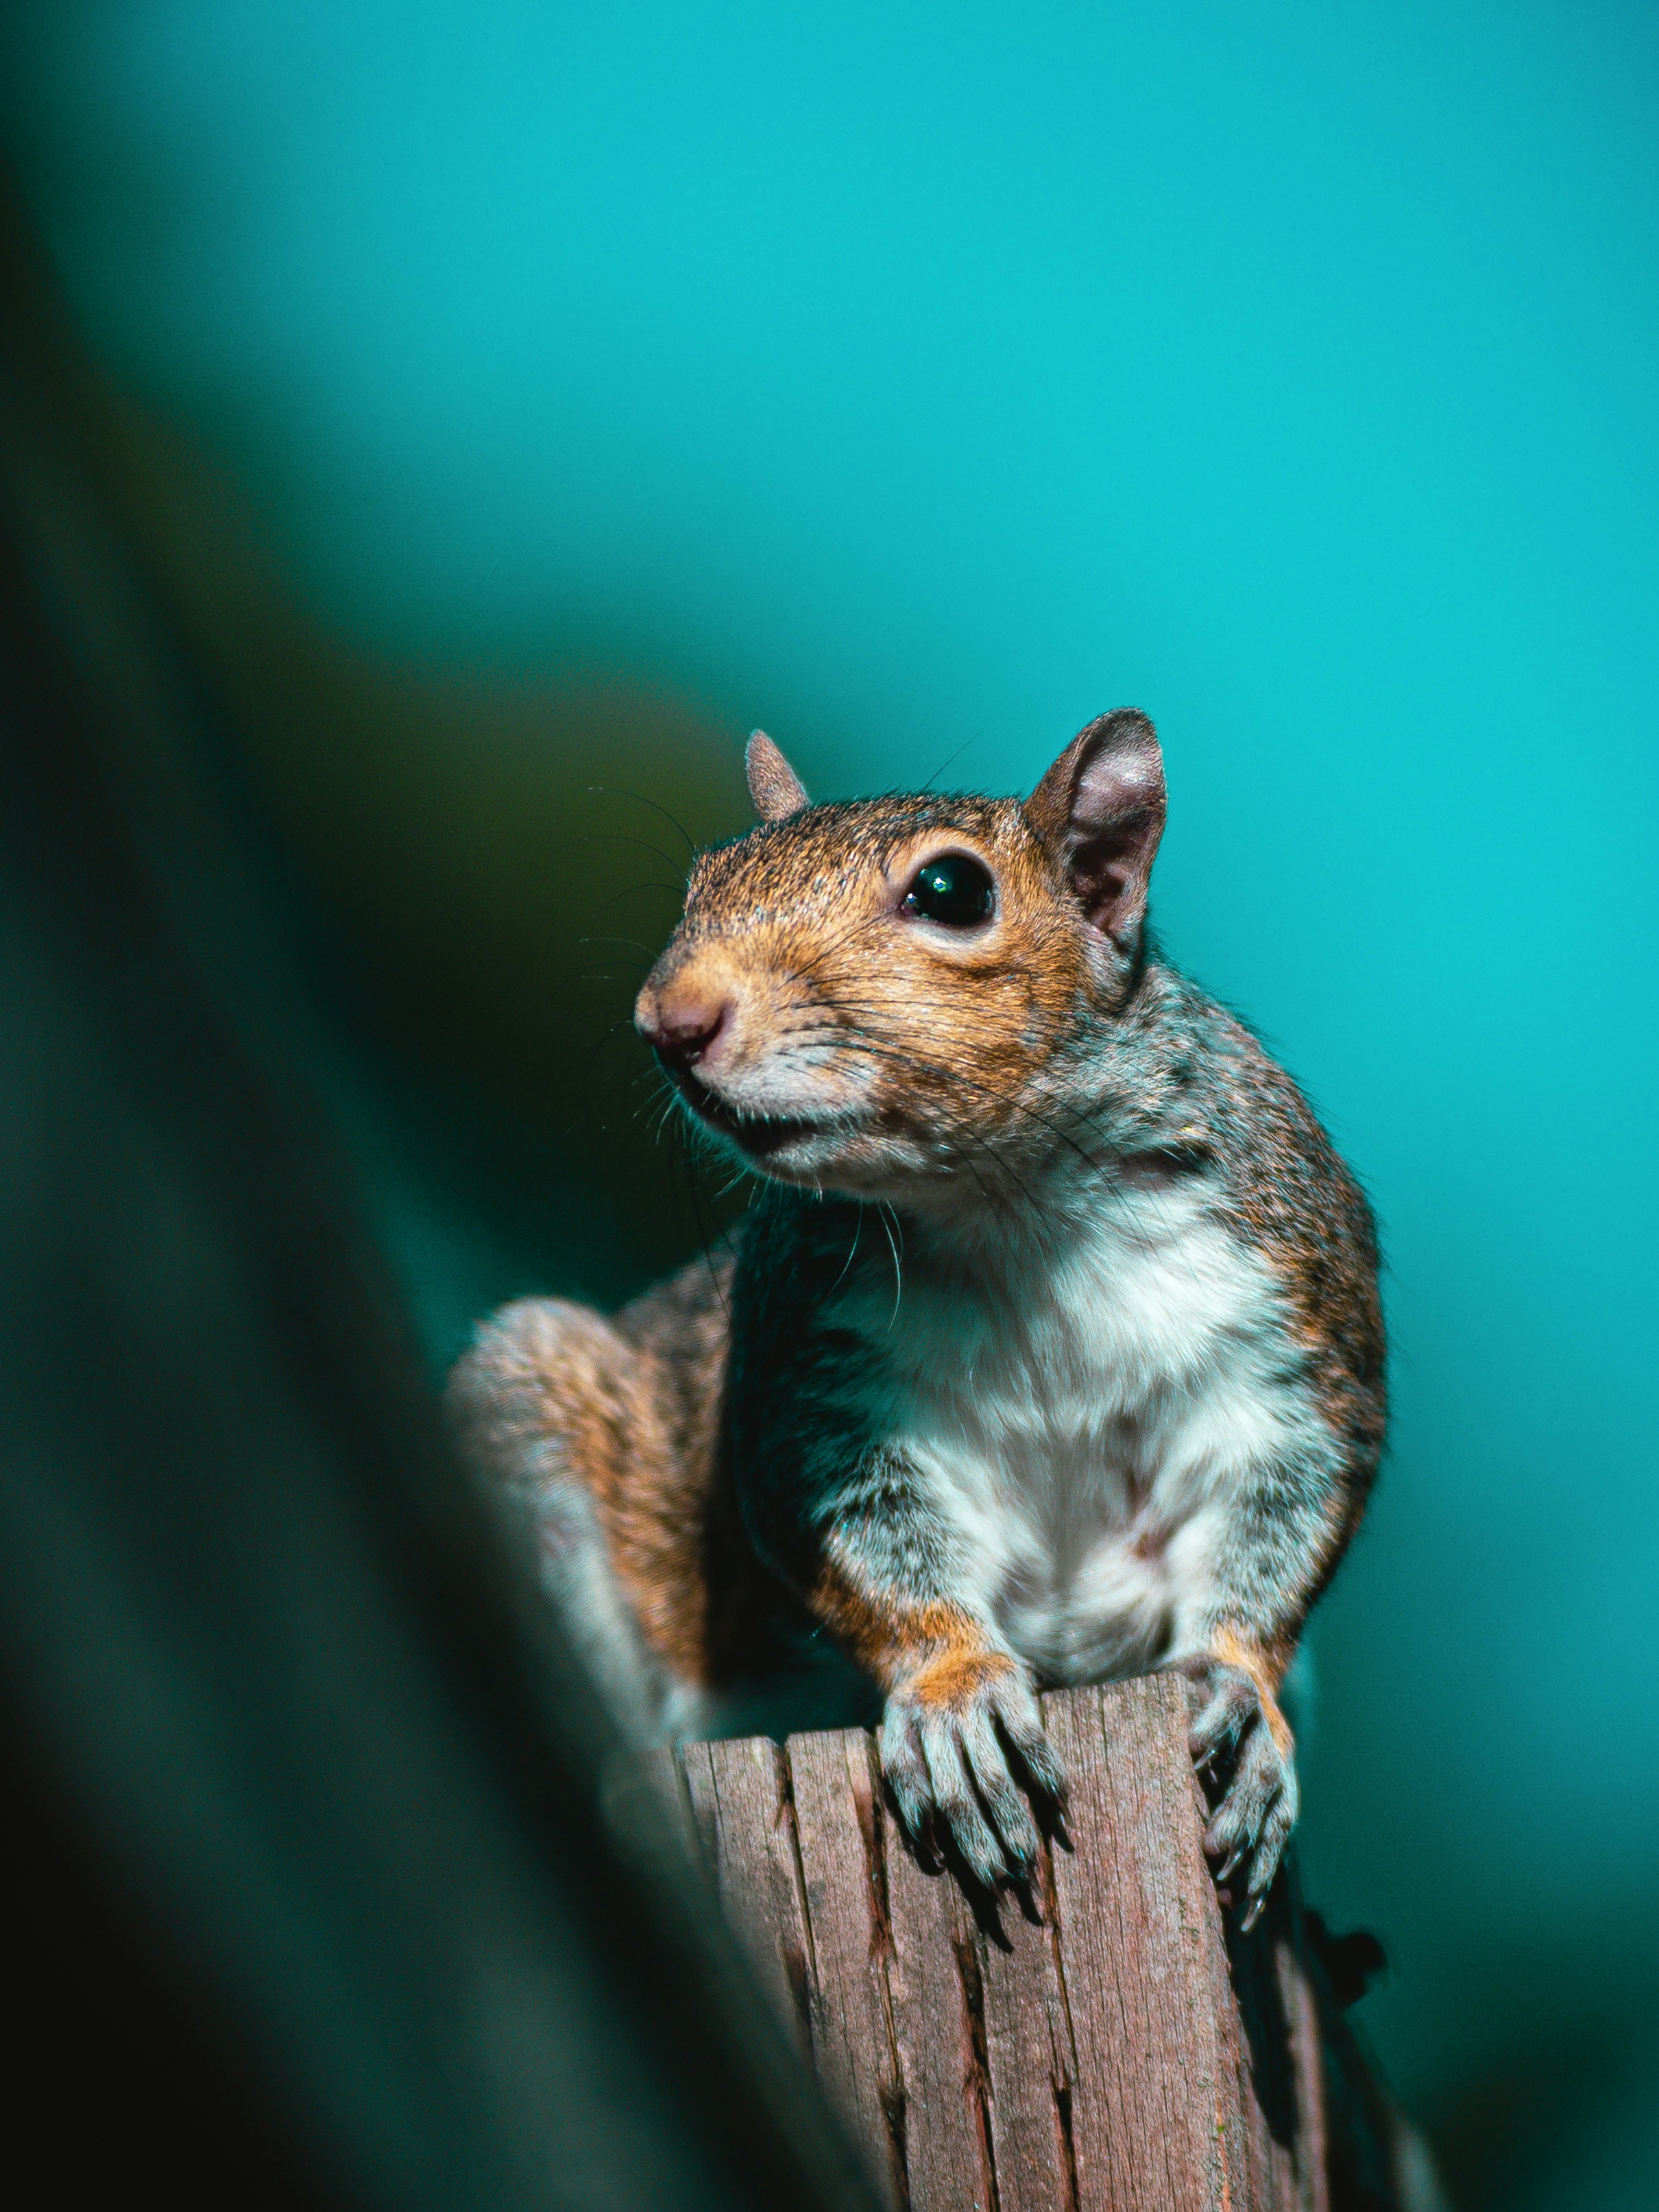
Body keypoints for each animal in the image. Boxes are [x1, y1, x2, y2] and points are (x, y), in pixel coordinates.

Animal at [447, 710, 1385, 1925]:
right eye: (703, 878)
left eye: (951, 890)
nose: (670, 1021)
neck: (1012, 1197)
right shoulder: (814, 1385)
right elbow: (873, 1540)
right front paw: (955, 1696)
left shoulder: (1297, 1339)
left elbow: (1284, 1517)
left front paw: (1244, 1696)